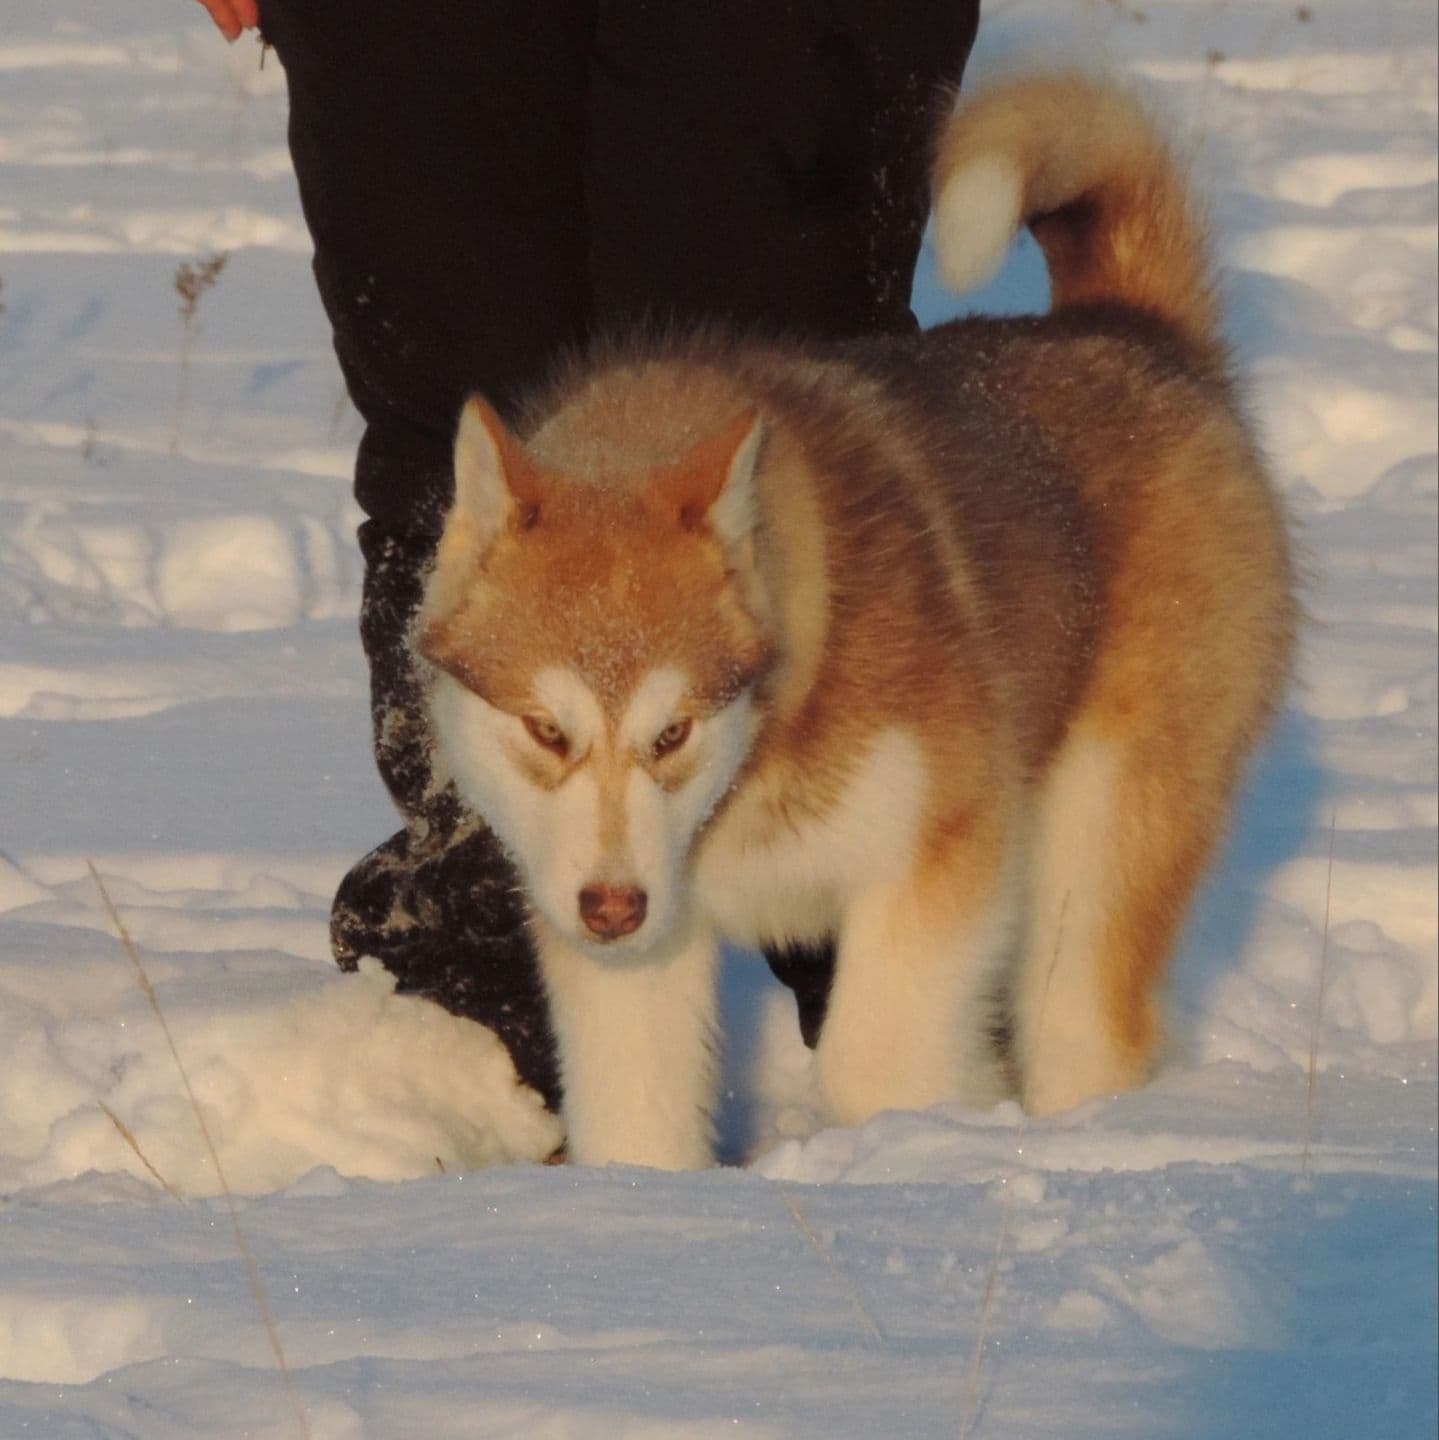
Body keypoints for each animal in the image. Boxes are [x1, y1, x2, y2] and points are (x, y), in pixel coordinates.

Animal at [414, 73, 1296, 1163]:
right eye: (545, 730)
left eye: (673, 732)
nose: (613, 908)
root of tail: (1136, 331)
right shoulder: (625, 958)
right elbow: (637, 1119)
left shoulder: (941, 865)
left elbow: (870, 1066)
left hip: (1094, 856)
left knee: (1080, 1025)